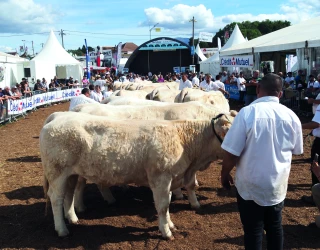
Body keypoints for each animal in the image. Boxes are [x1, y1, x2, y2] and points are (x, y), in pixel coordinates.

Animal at [41, 112, 234, 239]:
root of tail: (58, 117)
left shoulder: (171, 179)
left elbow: (168, 204)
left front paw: (170, 224)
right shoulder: (161, 178)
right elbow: (163, 206)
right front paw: (166, 232)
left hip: (71, 174)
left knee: (69, 195)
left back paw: (73, 218)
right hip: (57, 172)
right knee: (56, 198)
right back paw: (62, 229)